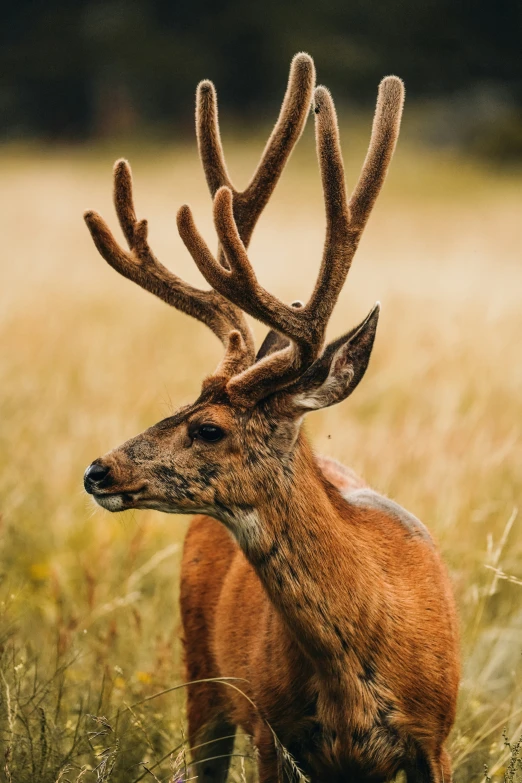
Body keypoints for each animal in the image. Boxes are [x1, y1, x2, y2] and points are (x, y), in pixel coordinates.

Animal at [82, 52, 460, 780]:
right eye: (181, 403)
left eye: (208, 427)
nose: (98, 470)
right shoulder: (271, 728)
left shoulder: (436, 735)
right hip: (202, 679)